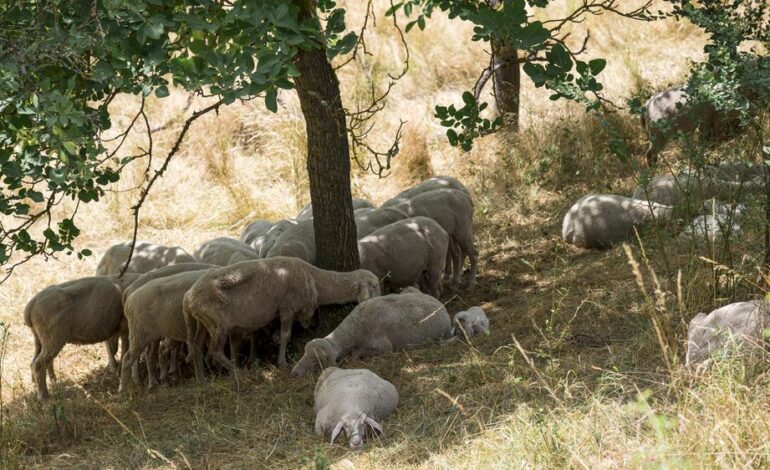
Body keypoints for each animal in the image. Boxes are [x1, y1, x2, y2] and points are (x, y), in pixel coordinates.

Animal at [184, 257, 380, 380]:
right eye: (374, 285)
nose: (380, 300)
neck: (315, 279)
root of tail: (188, 298)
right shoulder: (287, 308)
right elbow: (285, 335)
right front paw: (282, 362)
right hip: (218, 324)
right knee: (214, 351)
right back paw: (239, 373)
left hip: (203, 323)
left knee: (197, 346)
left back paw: (201, 379)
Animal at [291, 291, 453, 378]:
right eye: (304, 353)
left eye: (316, 360)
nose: (294, 373)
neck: (357, 326)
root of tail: (442, 305)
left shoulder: (384, 348)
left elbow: (355, 355)